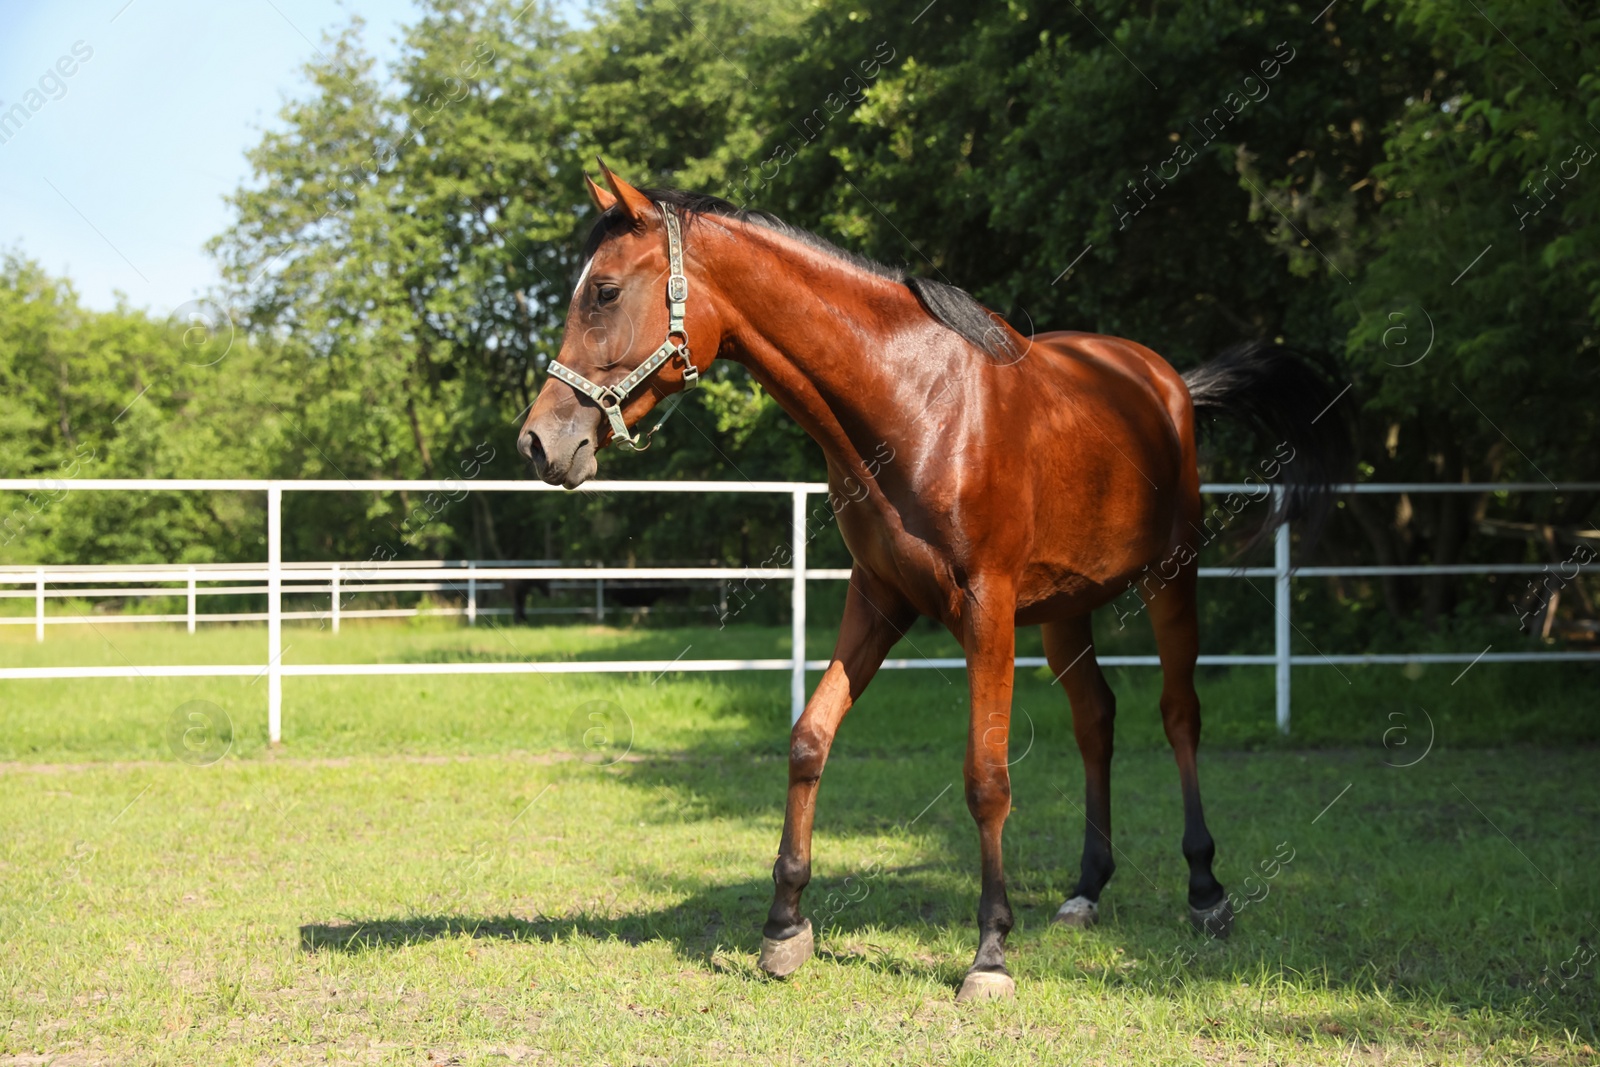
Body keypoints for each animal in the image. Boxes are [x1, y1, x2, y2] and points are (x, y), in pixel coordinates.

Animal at [518, 160, 1344, 1004]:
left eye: (604, 291)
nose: (540, 441)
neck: (913, 404)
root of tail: (1167, 380)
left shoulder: (987, 609)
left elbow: (987, 778)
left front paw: (990, 951)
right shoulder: (879, 598)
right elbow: (810, 738)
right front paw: (784, 926)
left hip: (1169, 578)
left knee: (1180, 715)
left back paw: (1206, 889)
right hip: (1065, 610)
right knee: (1096, 720)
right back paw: (1086, 888)